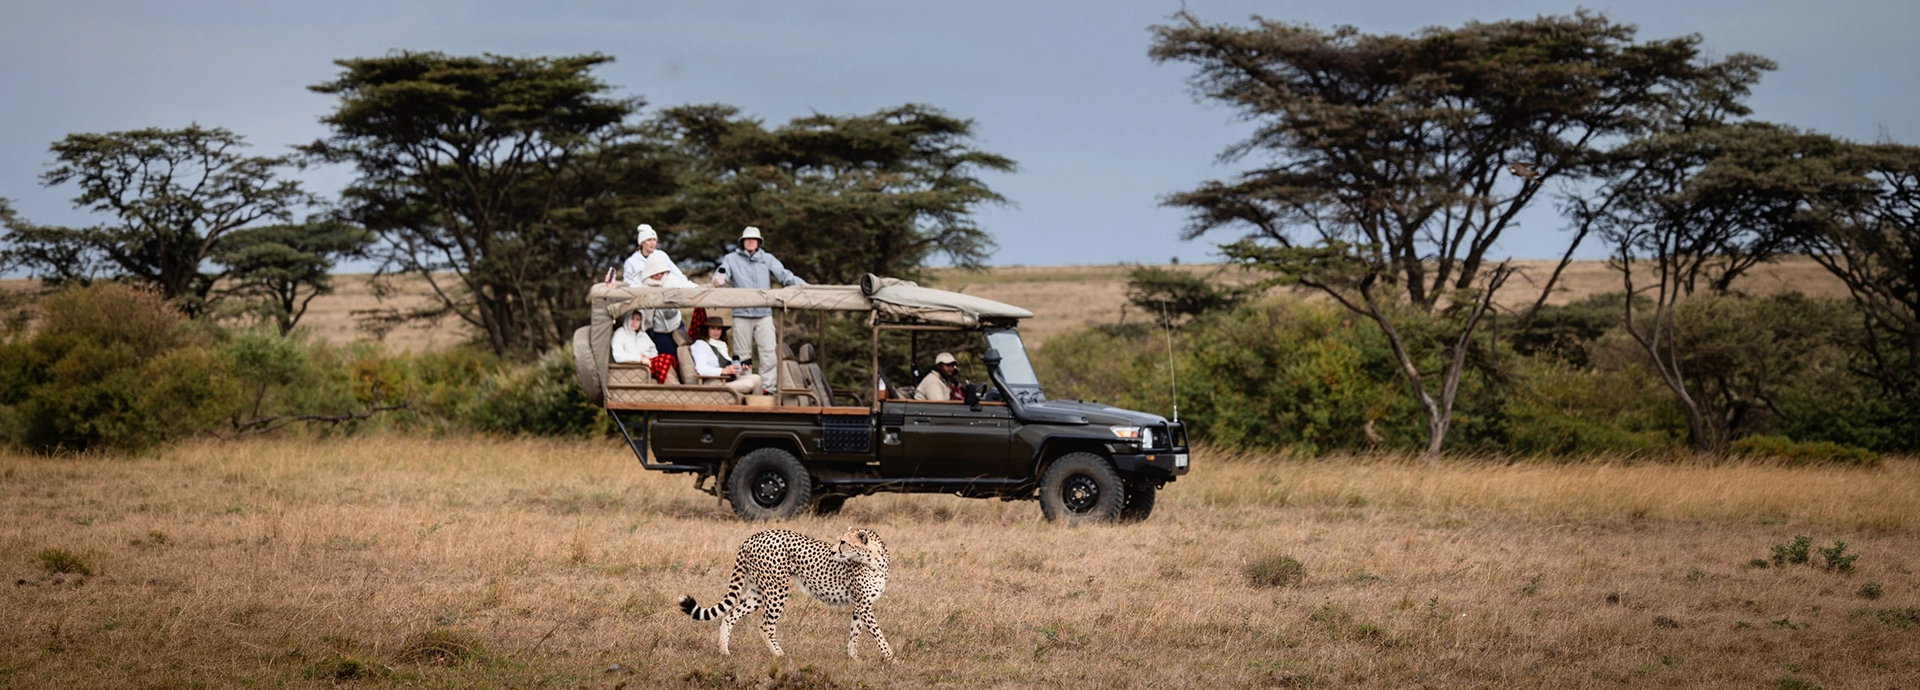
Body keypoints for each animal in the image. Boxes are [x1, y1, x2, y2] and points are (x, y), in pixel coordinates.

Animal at [678, 527, 894, 662]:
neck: (875, 560)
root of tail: (753, 537)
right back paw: (779, 654)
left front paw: (854, 657)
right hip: (777, 589)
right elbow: (877, 633)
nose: (833, 552)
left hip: (758, 592)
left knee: (730, 615)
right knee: (765, 626)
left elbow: (855, 632)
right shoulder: (864, 605)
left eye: (843, 542)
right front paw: (891, 658)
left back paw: (724, 651)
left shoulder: (861, 605)